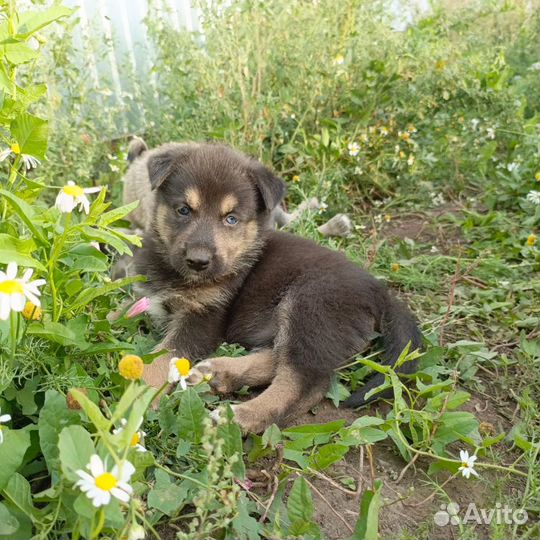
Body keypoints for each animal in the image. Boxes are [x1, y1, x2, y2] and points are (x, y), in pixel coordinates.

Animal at [122, 140, 422, 434]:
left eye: (231, 219)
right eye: (183, 210)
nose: (198, 261)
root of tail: (379, 290)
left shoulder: (204, 317)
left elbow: (162, 355)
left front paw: (137, 398)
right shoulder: (143, 297)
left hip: (311, 304)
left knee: (304, 383)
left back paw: (241, 416)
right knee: (281, 358)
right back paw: (219, 373)